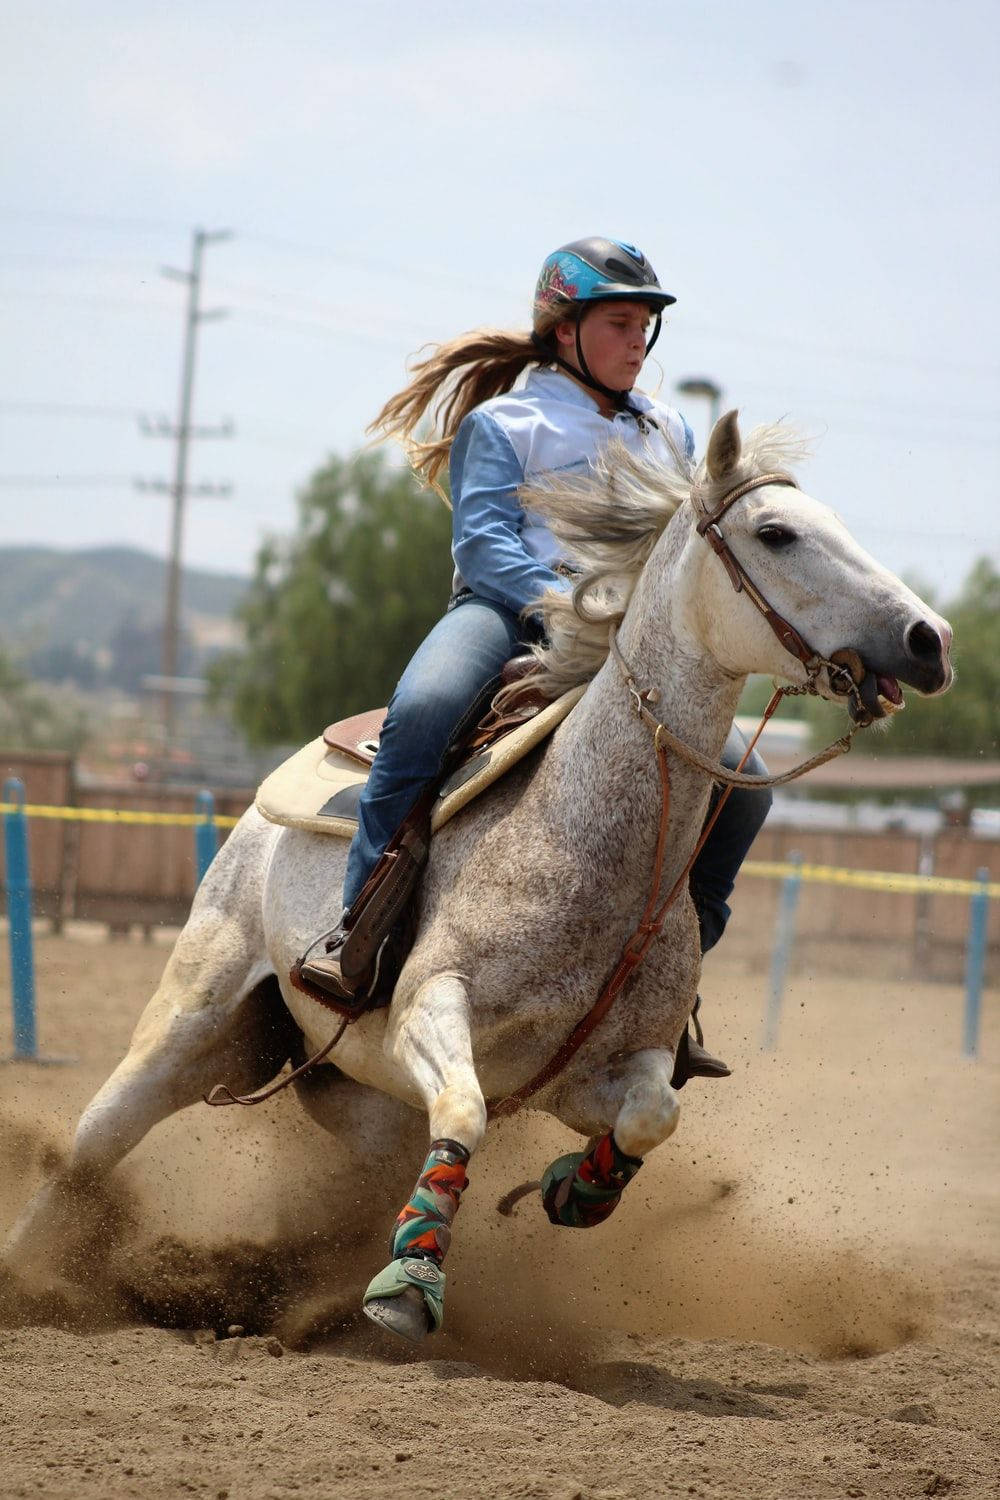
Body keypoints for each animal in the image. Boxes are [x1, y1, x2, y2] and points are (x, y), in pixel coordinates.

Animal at [1, 414, 953, 1350]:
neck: (587, 845)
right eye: (777, 532)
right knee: (91, 1148)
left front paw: (579, 1187)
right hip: (192, 1018)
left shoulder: (602, 1071)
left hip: (349, 1092)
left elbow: (652, 1117)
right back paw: (31, 1278)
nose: (929, 640)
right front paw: (410, 1281)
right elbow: (462, 1112)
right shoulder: (431, 1005)